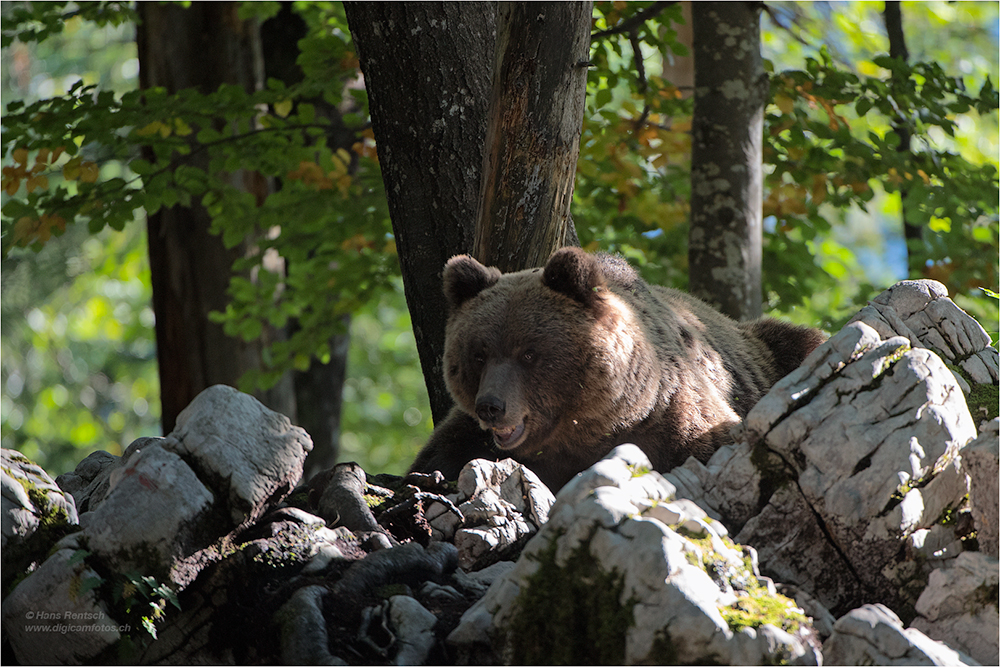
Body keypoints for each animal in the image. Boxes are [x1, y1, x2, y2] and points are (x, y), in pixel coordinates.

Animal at [410, 248, 824, 494]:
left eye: (529, 353)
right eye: (479, 354)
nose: (491, 407)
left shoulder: (674, 414)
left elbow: (711, 442)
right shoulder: (474, 433)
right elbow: (439, 455)